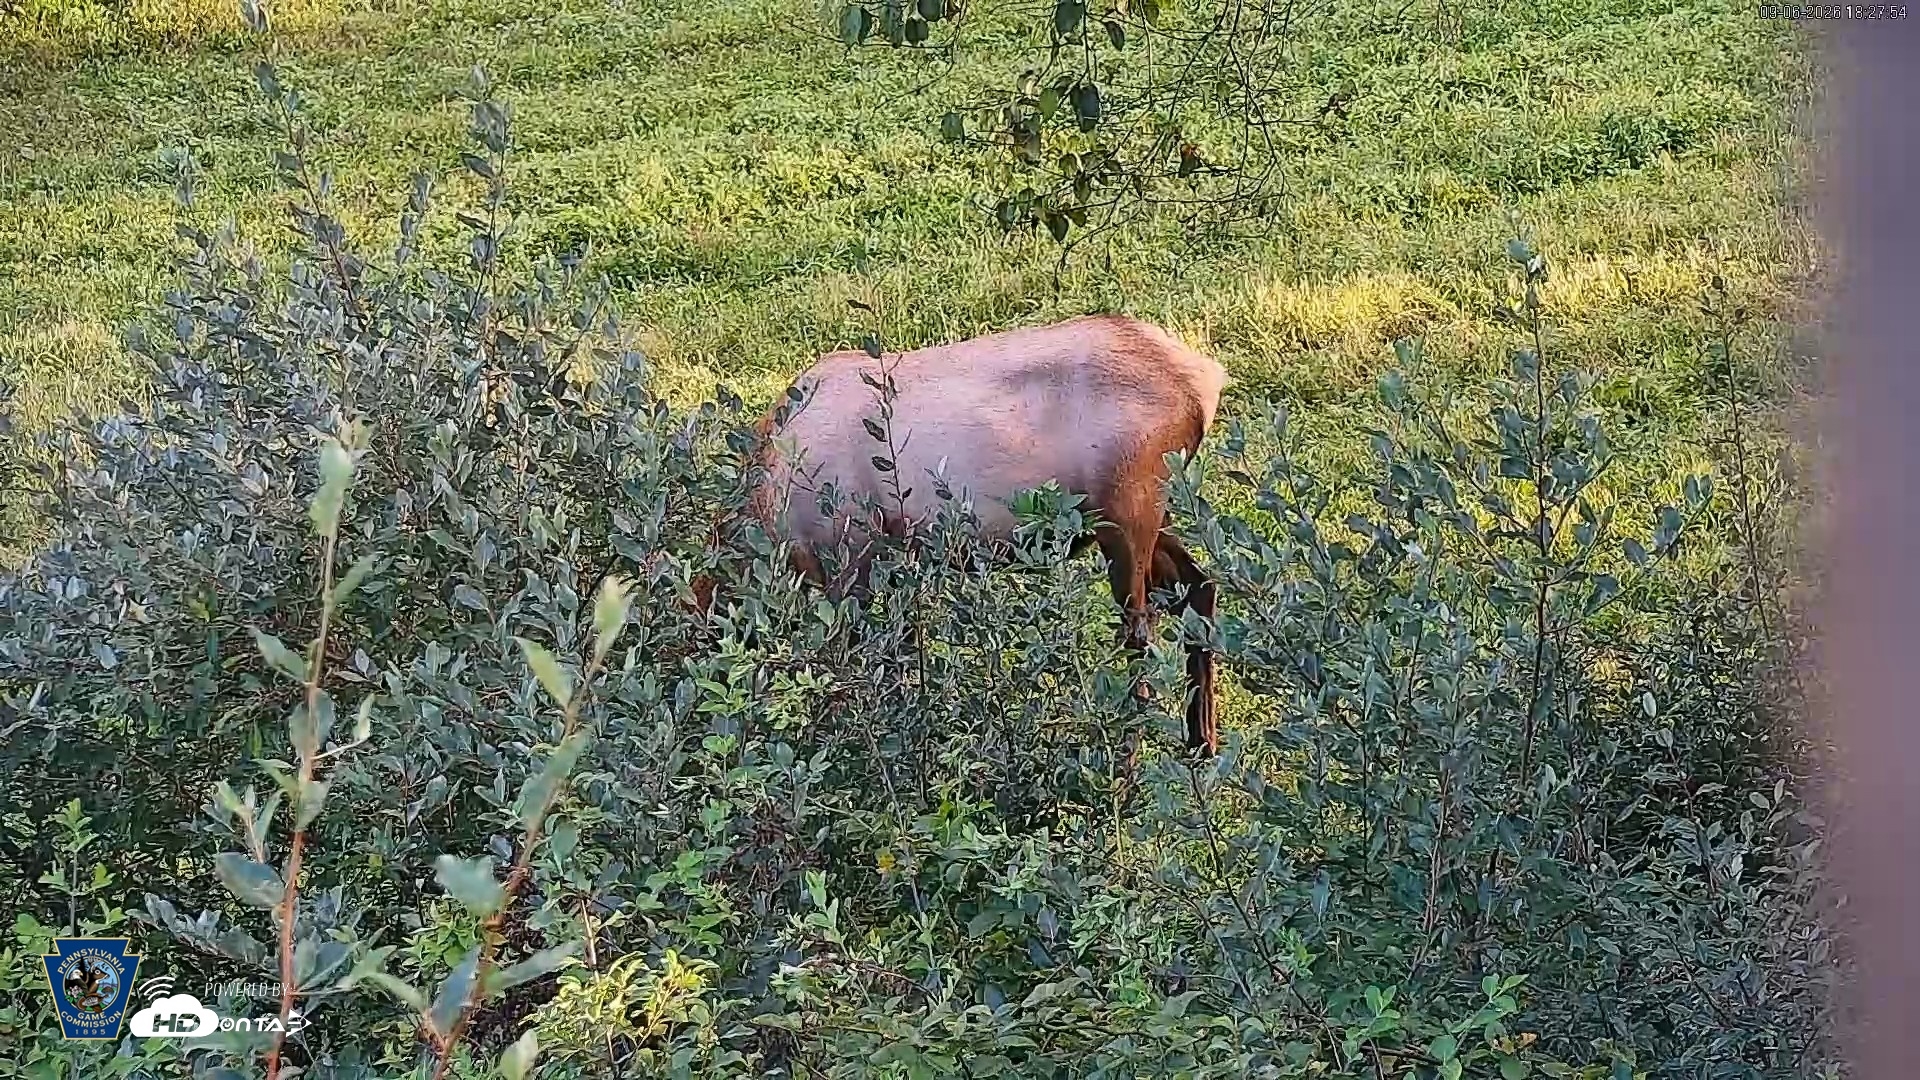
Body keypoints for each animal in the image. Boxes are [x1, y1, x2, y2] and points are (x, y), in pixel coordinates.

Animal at [692, 313, 1228, 755]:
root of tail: (1203, 383)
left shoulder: (851, 558)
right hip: (1152, 512)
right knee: (1200, 585)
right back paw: (1201, 744)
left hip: (1127, 512)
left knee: (1142, 638)